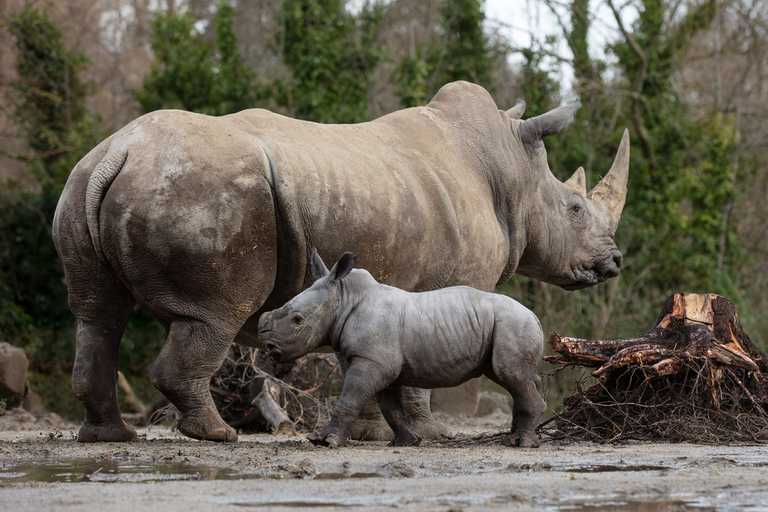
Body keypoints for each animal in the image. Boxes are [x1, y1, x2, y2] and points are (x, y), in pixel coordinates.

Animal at [259, 250, 547, 448]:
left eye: (297, 320)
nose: (267, 346)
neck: (344, 298)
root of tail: (536, 317)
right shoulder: (379, 362)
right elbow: (390, 407)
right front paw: (406, 442)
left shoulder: (372, 361)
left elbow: (349, 398)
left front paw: (324, 441)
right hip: (508, 325)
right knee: (515, 379)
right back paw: (516, 438)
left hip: (513, 323)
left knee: (511, 375)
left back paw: (522, 444)